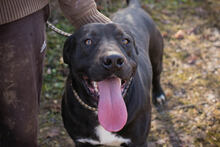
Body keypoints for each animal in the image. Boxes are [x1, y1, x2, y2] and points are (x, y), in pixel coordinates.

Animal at [61, 0, 165, 146]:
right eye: (88, 41)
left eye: (125, 40)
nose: (114, 60)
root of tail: (133, 6)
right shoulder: (81, 141)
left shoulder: (139, 141)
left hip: (157, 57)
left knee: (157, 75)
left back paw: (159, 94)